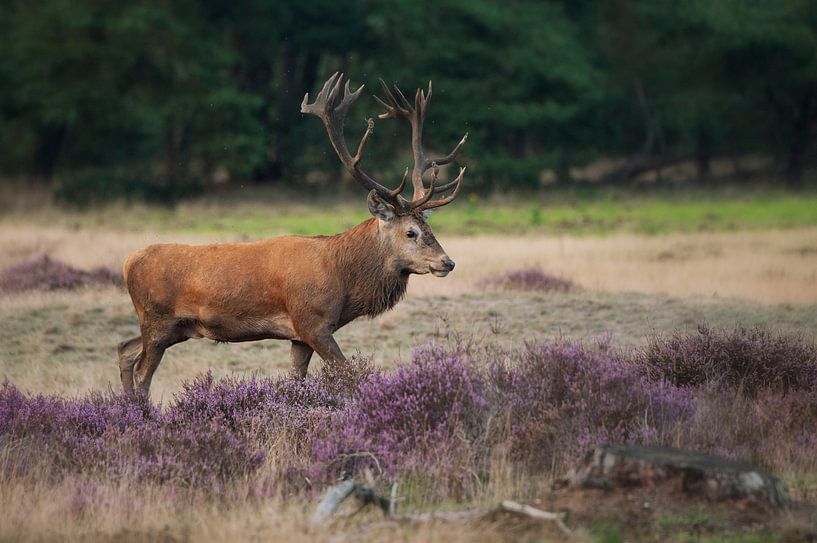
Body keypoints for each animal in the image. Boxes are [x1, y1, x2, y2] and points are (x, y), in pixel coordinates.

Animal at [117, 73, 468, 398]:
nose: (447, 262)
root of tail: (128, 262)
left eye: (430, 228)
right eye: (411, 232)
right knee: (143, 374)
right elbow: (350, 374)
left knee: (125, 350)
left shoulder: (299, 337)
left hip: (174, 328)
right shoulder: (312, 322)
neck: (344, 281)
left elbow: (296, 380)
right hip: (158, 320)